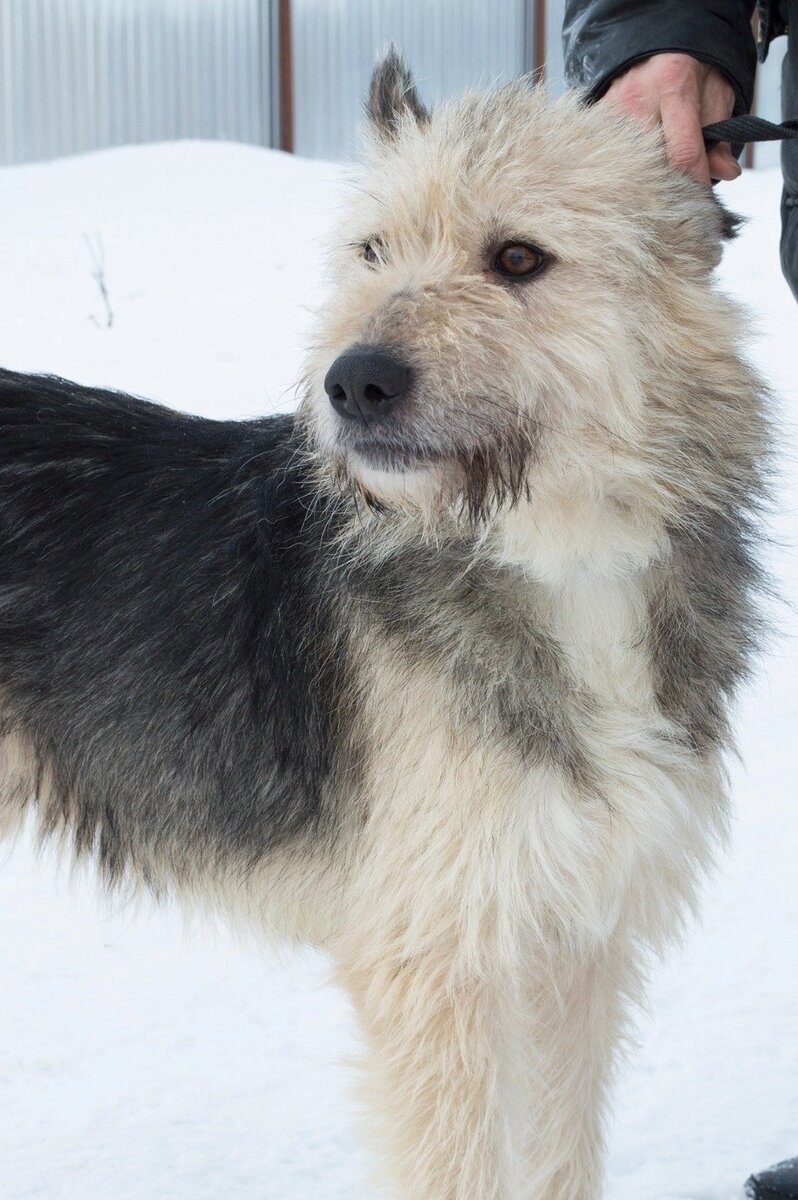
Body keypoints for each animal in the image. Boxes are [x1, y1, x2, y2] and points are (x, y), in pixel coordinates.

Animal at [1, 54, 772, 1200]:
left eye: (517, 258)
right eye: (372, 252)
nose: (352, 380)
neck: (555, 558)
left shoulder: (573, 942)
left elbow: (558, 1156)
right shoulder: (437, 960)